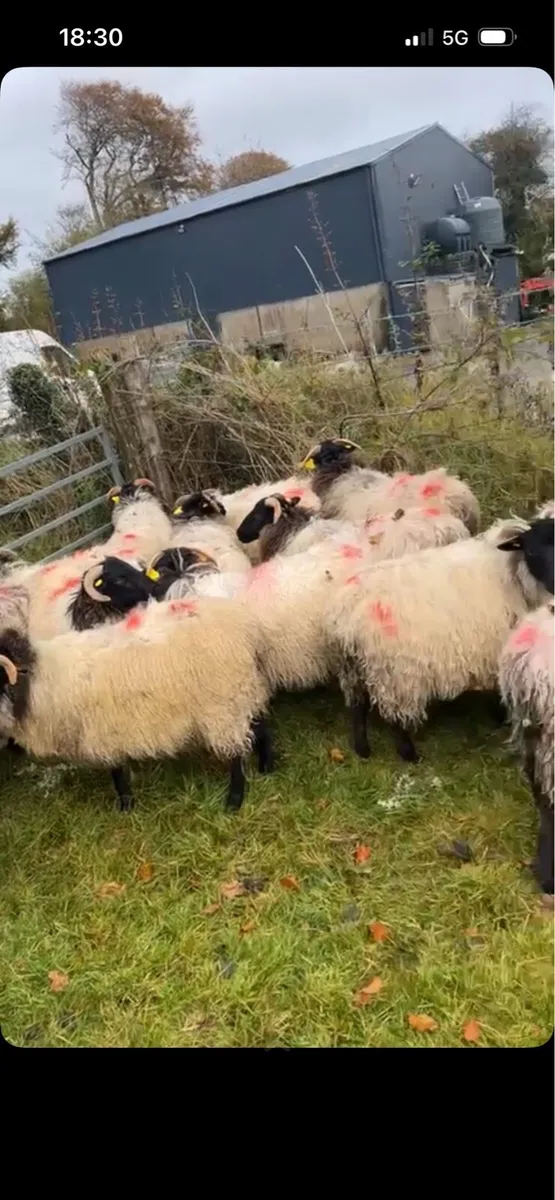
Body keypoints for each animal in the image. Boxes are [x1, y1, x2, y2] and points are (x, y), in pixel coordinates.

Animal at [0, 585, 273, 812]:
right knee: (261, 726)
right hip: (244, 690)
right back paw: (267, 768)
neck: (40, 678)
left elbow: (118, 773)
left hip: (223, 704)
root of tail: (246, 626)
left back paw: (234, 802)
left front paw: (126, 808)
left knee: (237, 753)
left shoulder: (106, 732)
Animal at [323, 515, 553, 763]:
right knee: (395, 718)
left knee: (357, 708)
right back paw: (409, 753)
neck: (512, 575)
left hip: (353, 668)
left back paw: (362, 748)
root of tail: (347, 612)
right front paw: (500, 717)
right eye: (532, 551)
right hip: (394, 673)